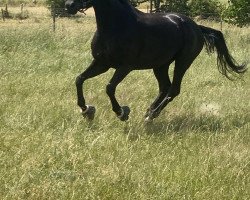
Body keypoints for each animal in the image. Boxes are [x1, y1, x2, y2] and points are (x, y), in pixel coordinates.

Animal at [64, 0, 246, 122]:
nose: (69, 5)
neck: (117, 26)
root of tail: (197, 27)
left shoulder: (125, 67)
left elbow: (109, 88)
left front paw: (122, 112)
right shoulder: (102, 63)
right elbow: (79, 79)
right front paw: (87, 110)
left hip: (182, 62)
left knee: (174, 89)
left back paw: (151, 115)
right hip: (161, 65)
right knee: (164, 87)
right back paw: (149, 111)